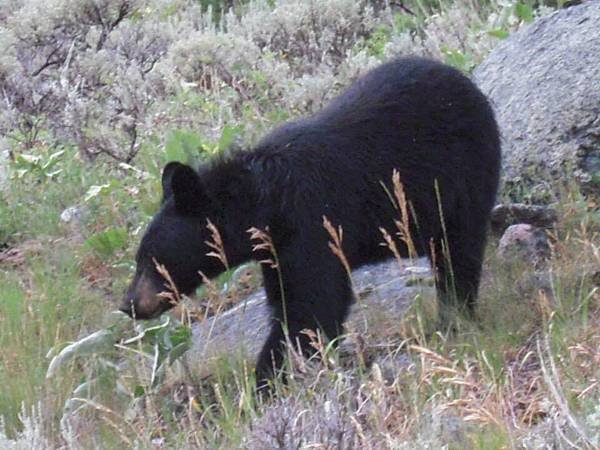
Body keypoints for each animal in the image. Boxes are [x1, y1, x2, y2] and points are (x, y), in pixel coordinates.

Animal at [118, 57, 502, 384]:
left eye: (151, 259)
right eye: (139, 258)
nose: (128, 304)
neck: (265, 203)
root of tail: (466, 82)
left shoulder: (311, 222)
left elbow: (314, 303)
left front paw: (271, 379)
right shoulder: (275, 251)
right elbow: (290, 300)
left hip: (461, 183)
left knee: (457, 256)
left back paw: (454, 319)